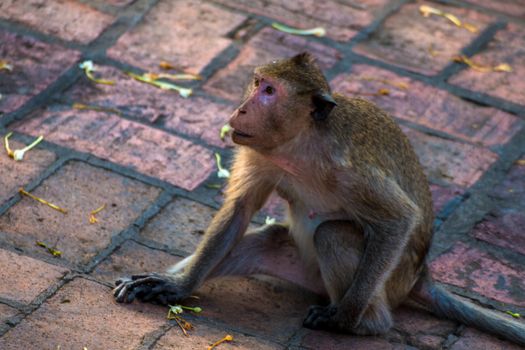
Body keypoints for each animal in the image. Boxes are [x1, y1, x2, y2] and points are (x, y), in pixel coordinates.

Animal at [114, 52, 524, 344]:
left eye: (270, 92)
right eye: (258, 83)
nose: (241, 109)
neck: (299, 145)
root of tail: (421, 274)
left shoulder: (350, 169)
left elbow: (398, 219)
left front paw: (345, 317)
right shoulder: (261, 154)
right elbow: (240, 210)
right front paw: (178, 286)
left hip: (389, 280)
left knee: (334, 234)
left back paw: (364, 323)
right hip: (301, 265)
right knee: (265, 241)